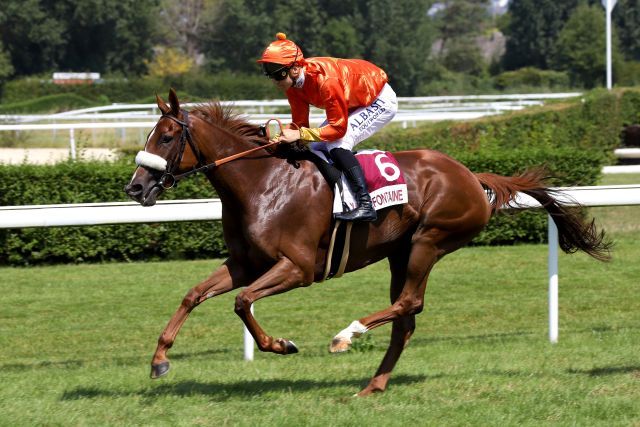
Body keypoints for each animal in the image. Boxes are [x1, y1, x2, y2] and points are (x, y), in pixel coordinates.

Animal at [125, 90, 608, 398]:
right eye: (148, 135)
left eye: (165, 137)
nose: (135, 187)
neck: (262, 182)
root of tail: (472, 175)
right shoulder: (246, 263)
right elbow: (193, 295)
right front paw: (159, 359)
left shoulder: (298, 268)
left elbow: (243, 303)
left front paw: (283, 345)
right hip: (401, 251)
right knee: (405, 319)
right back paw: (373, 385)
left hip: (429, 240)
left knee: (409, 303)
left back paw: (347, 335)